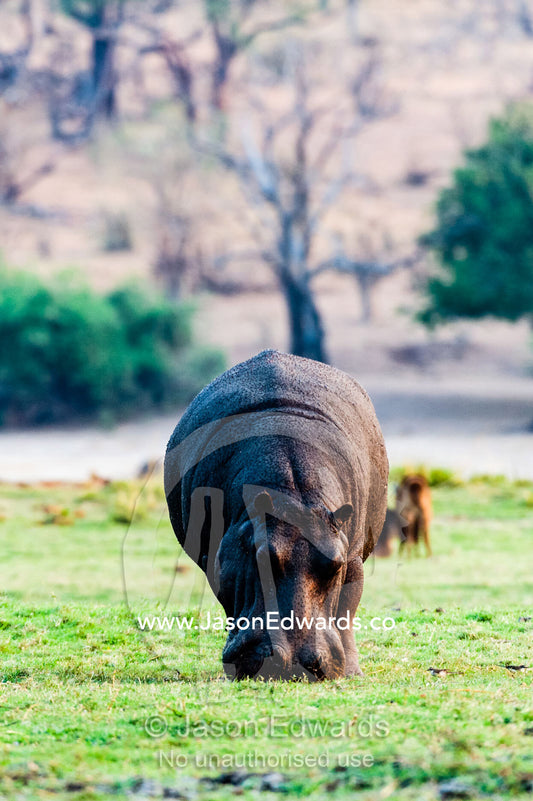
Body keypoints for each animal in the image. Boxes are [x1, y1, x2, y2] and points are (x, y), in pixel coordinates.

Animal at [164, 350, 388, 680]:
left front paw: (352, 673)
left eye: (334, 565)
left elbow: (348, 607)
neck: (293, 492)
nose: (293, 663)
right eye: (260, 556)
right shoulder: (218, 557)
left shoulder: (351, 554)